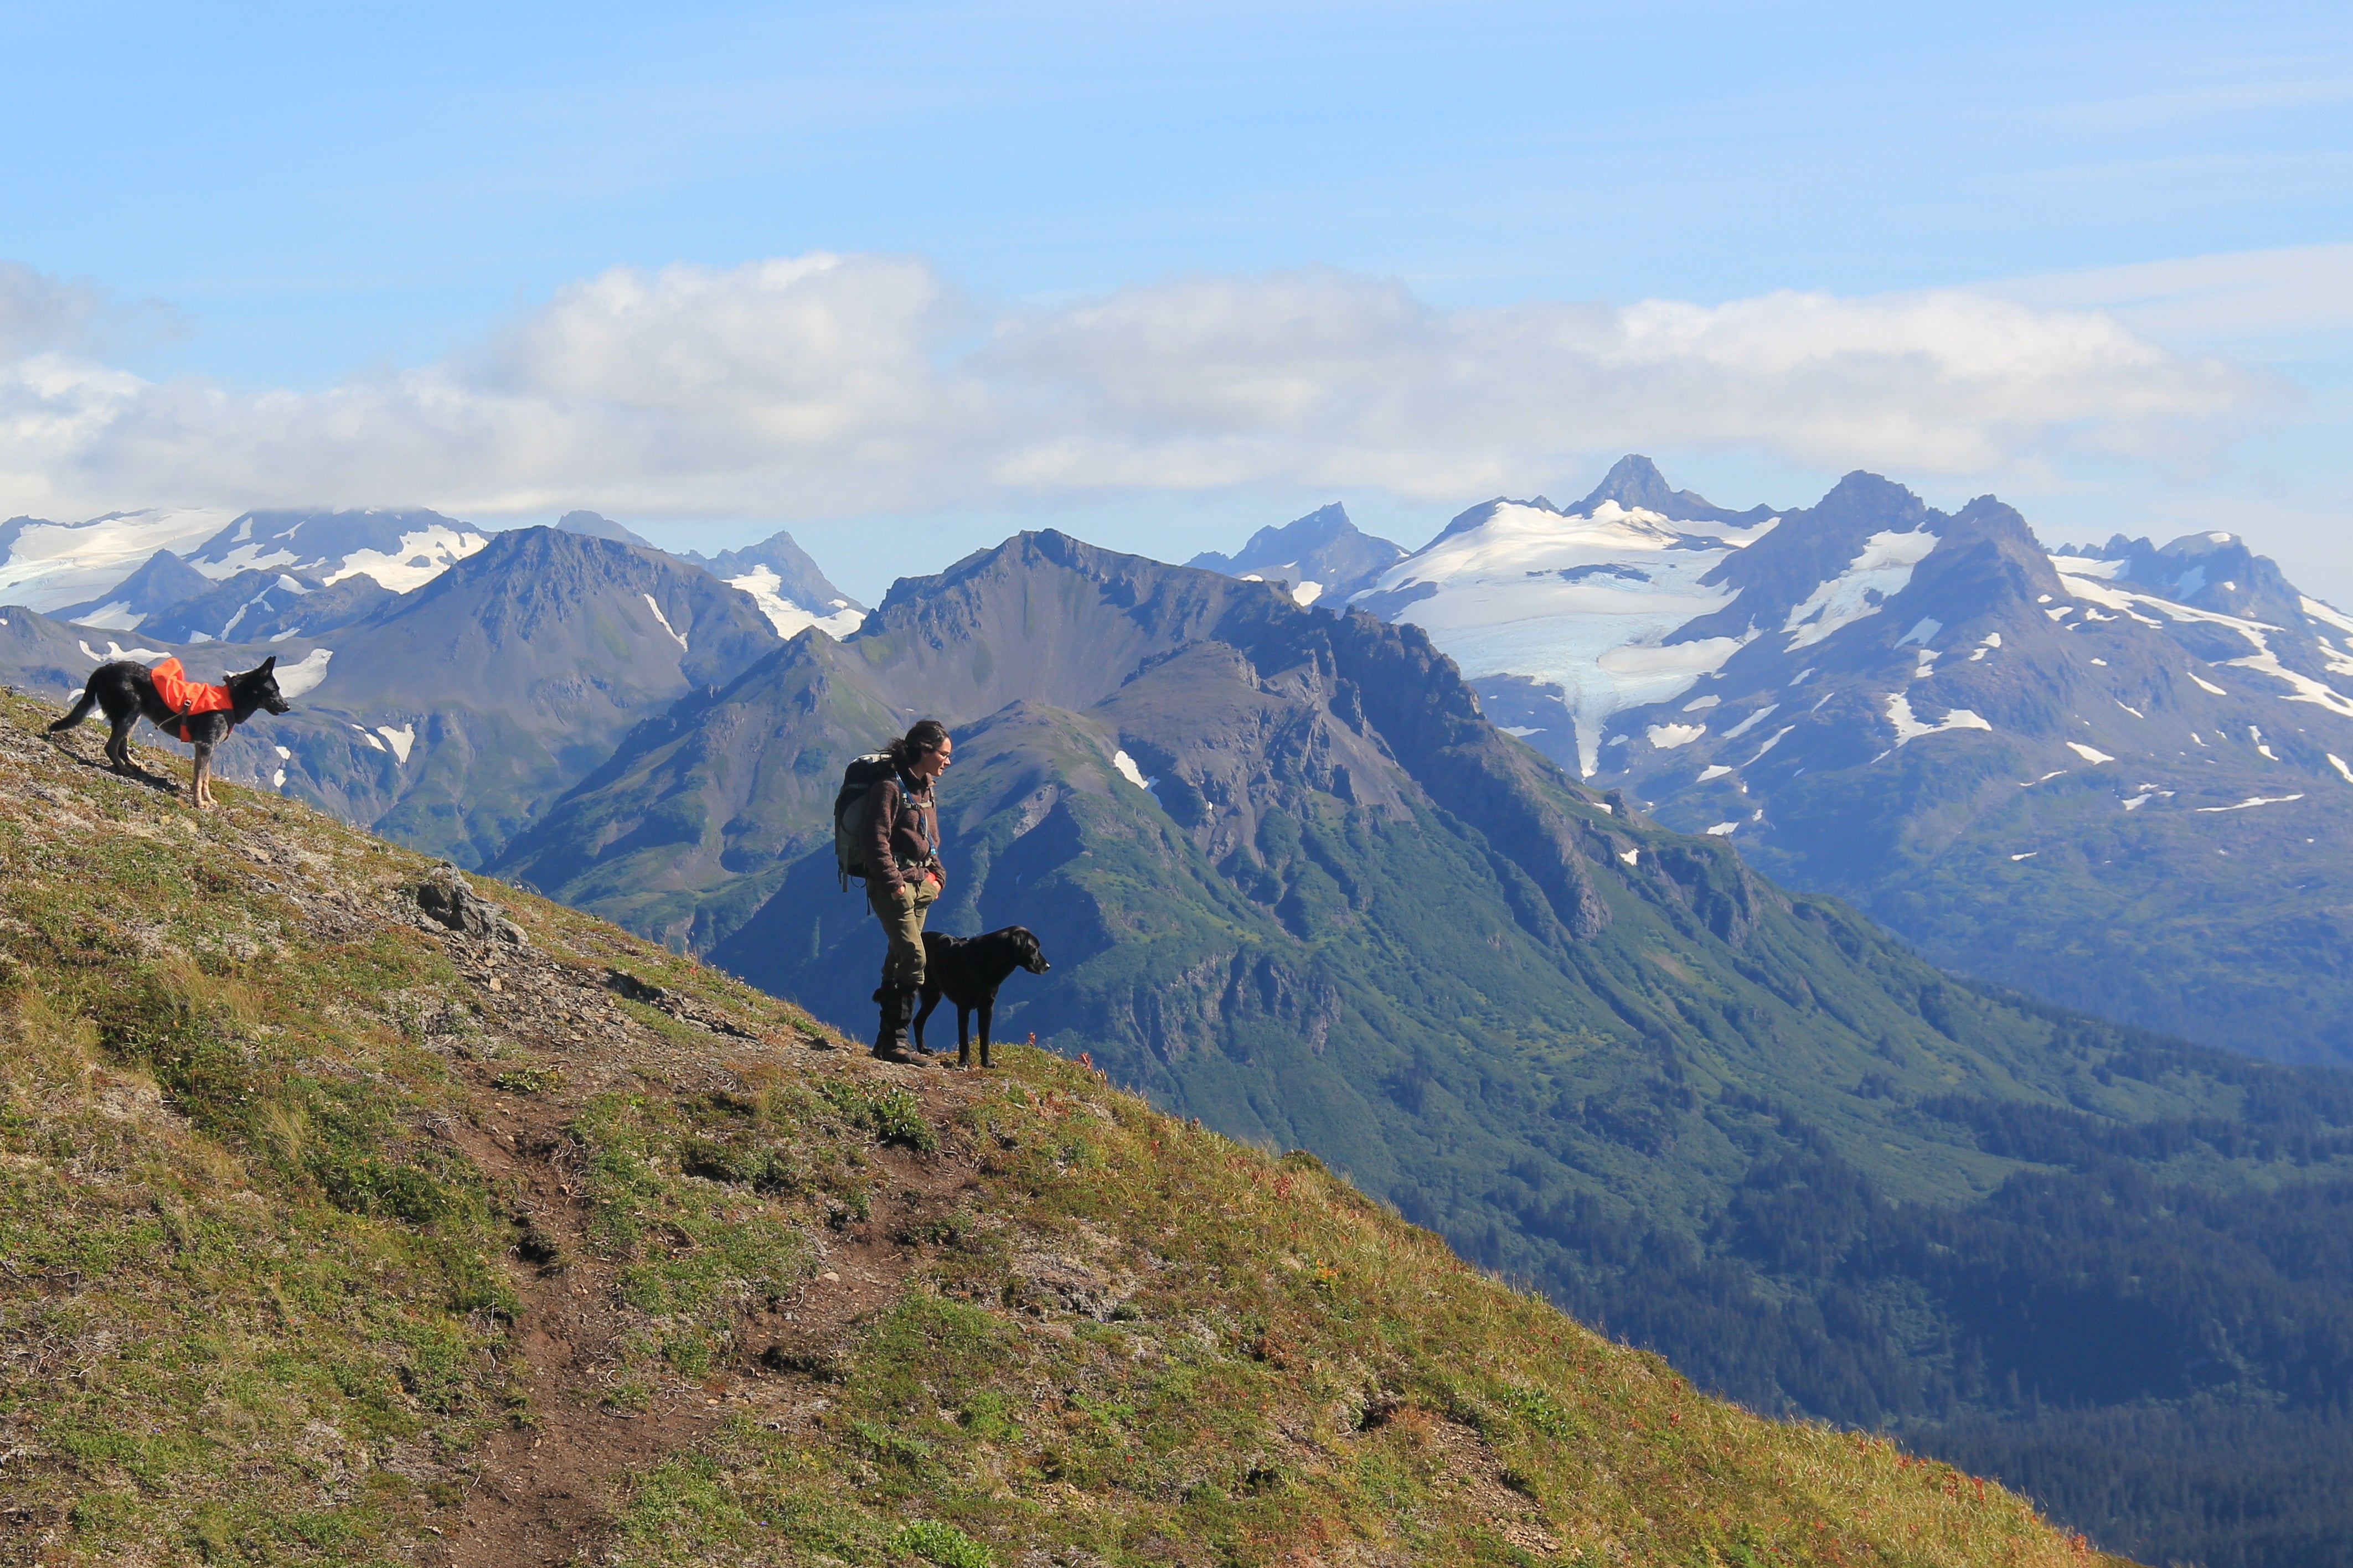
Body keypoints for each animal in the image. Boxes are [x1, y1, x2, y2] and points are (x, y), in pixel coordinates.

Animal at [49, 658, 293, 809]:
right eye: (274, 691)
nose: (288, 707)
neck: (231, 700)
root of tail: (103, 670)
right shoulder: (205, 746)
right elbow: (198, 779)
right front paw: (199, 802)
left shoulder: (209, 750)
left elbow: (205, 779)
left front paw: (208, 799)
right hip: (130, 714)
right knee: (110, 746)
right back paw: (122, 769)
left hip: (134, 717)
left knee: (121, 745)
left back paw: (133, 764)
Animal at [913, 926, 1054, 1072]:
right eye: (1034, 949)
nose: (1048, 966)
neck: (987, 960)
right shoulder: (964, 1007)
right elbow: (964, 1039)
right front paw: (964, 1062)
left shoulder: (987, 1007)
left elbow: (985, 1038)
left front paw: (987, 1063)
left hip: (933, 996)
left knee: (918, 1021)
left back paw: (923, 1049)